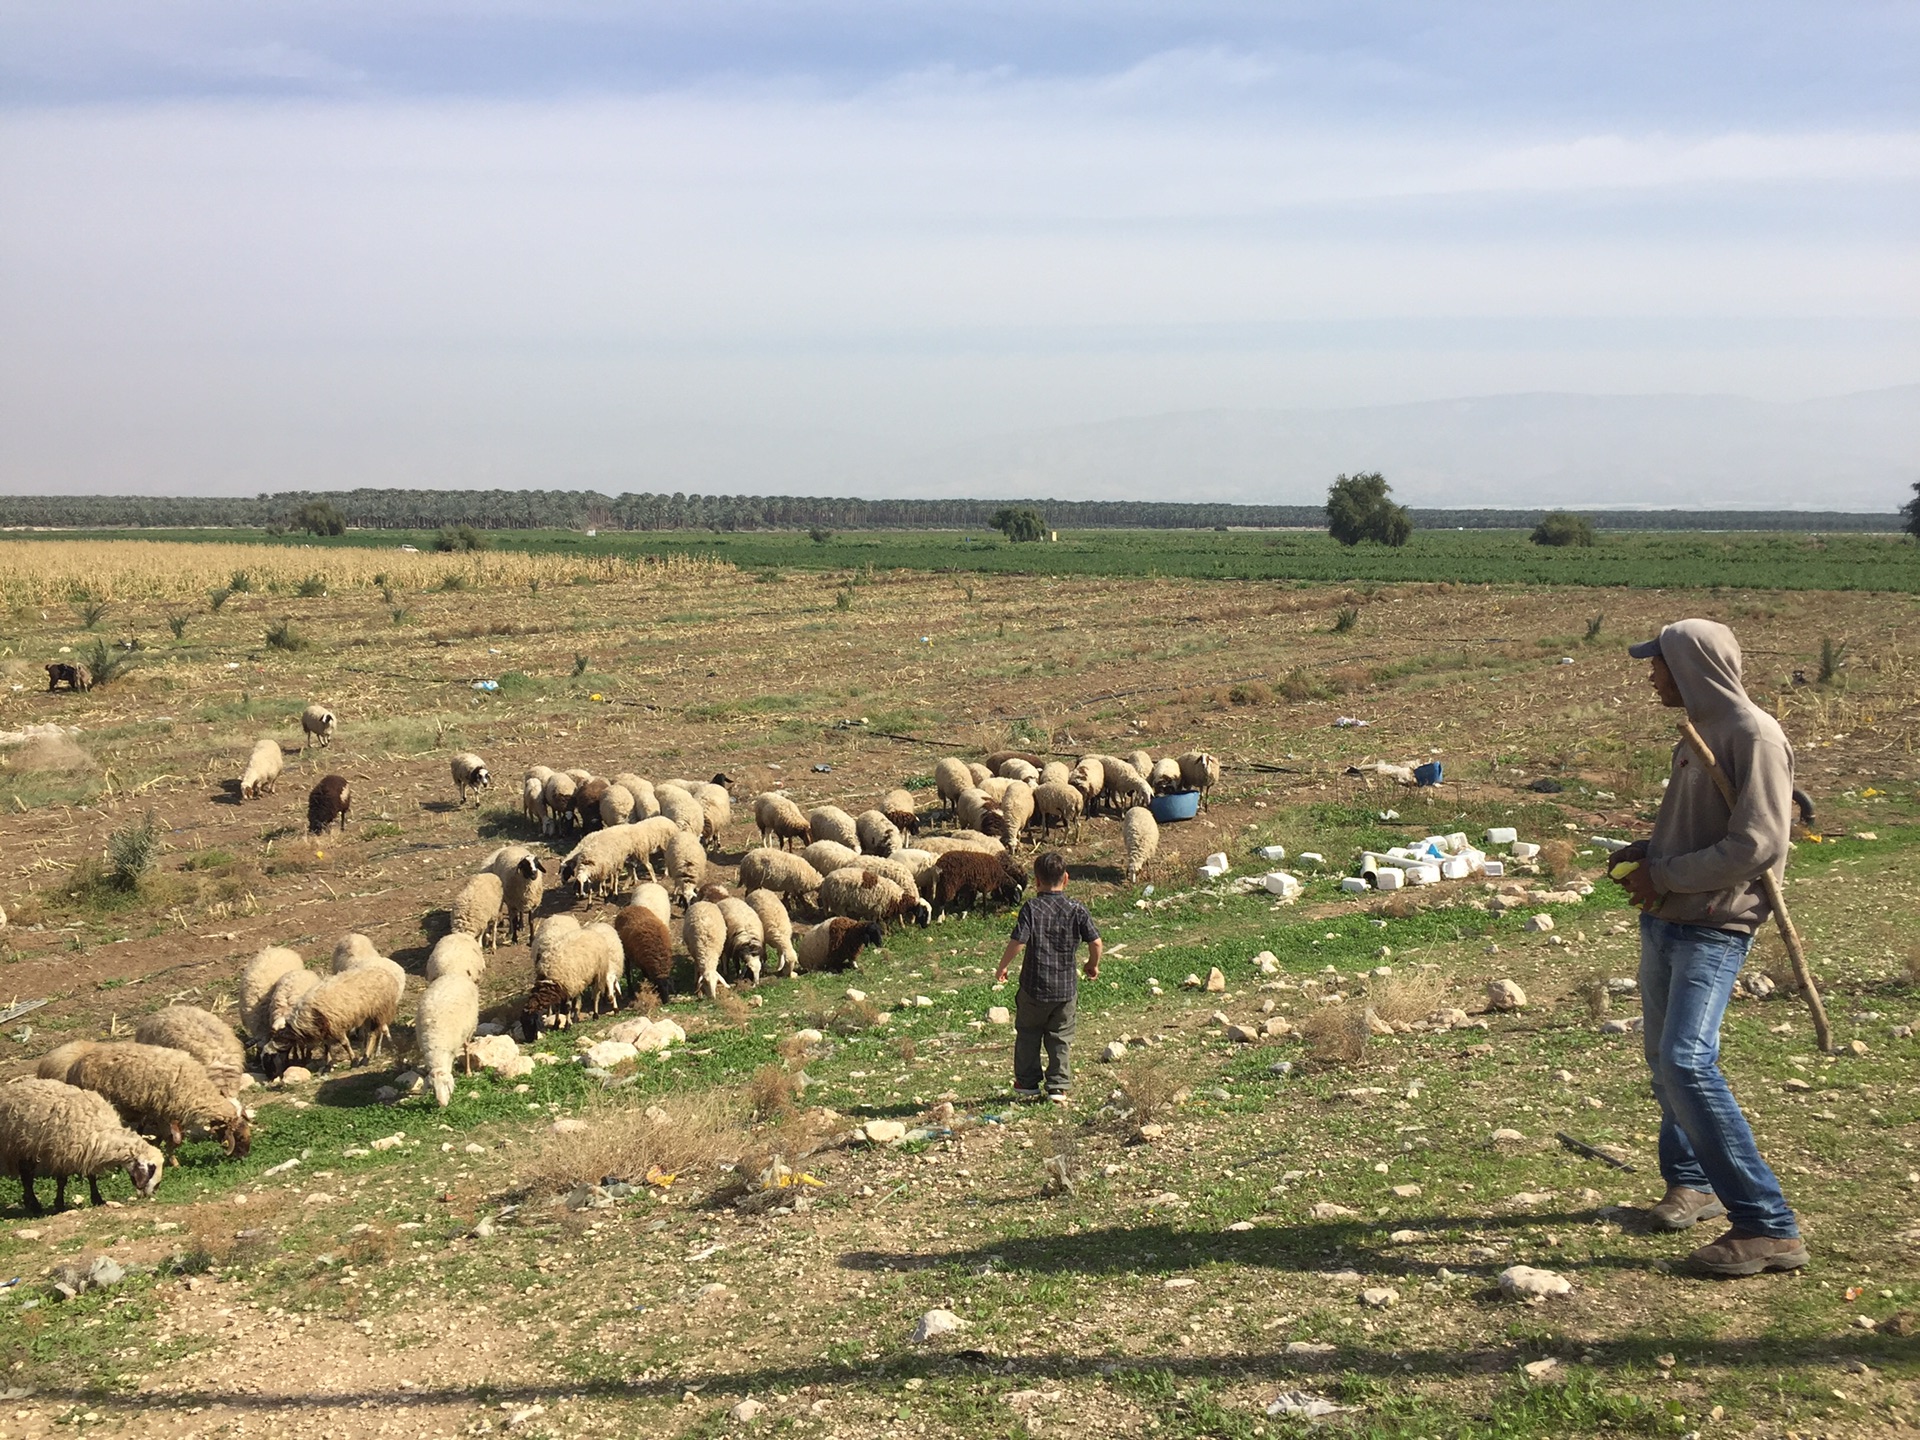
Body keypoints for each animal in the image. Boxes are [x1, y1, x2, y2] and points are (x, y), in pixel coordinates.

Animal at [0, 1082, 163, 1221]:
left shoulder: (88, 1151)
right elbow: (62, 1181)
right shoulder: (63, 1153)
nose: (154, 1191)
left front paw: (97, 1199)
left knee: (26, 1175)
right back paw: (34, 1205)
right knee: (26, 1176)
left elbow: (91, 1176)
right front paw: (59, 1205)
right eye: (152, 1168)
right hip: (21, 1145)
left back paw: (29, 1202)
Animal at [65, 1052, 251, 1175]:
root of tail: (74, 1067)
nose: (244, 1157)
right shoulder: (163, 1114)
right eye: (239, 1137)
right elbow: (173, 1140)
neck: (198, 1090)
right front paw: (174, 1163)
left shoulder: (166, 1116)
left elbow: (168, 1139)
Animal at [266, 963, 397, 1075]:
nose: (275, 1074)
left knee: (373, 1034)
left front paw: (353, 1061)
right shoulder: (326, 1030)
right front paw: (328, 1066)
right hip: (367, 1014)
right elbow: (326, 1046)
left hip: (378, 1010)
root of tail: (386, 973)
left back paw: (365, 1059)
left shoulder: (336, 1025)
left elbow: (345, 1044)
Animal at [416, 975, 480, 1113]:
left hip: (469, 1027)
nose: (442, 1105)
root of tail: (453, 975)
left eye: (446, 1083)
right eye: (432, 1088)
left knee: (467, 1048)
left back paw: (468, 1072)